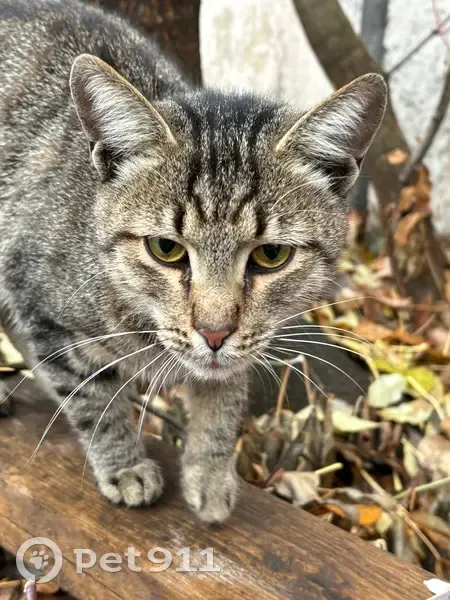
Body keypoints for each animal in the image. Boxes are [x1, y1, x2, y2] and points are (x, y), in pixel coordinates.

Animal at [0, 0, 386, 523]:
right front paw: (123, 464)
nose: (214, 333)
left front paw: (210, 475)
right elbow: (93, 399)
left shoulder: (241, 350)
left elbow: (223, 400)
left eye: (271, 255)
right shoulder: (41, 304)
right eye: (166, 249)